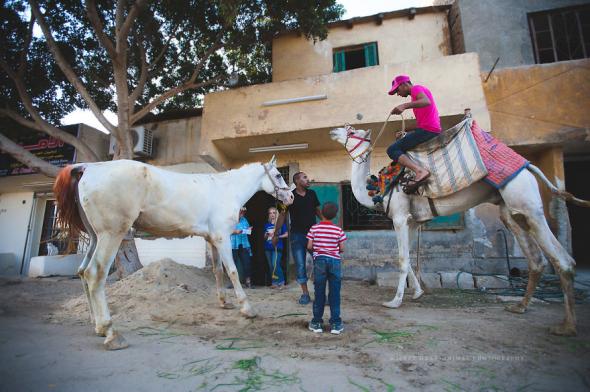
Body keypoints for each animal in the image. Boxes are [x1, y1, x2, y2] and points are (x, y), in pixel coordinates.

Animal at [54, 156, 294, 350]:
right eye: (278, 175)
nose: (290, 198)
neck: (226, 189)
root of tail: (89, 167)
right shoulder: (223, 238)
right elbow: (233, 271)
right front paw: (247, 309)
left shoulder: (212, 239)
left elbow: (217, 271)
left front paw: (224, 303)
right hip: (111, 234)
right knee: (95, 274)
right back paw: (111, 333)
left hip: (96, 237)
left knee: (83, 271)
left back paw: (96, 326)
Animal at [330, 126, 588, 336]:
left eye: (351, 130)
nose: (333, 131)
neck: (380, 190)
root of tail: (528, 165)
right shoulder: (413, 221)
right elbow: (410, 258)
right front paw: (418, 293)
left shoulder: (400, 217)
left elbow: (402, 259)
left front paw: (395, 301)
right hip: (511, 209)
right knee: (536, 258)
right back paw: (519, 306)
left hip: (526, 201)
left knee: (563, 260)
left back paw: (566, 327)